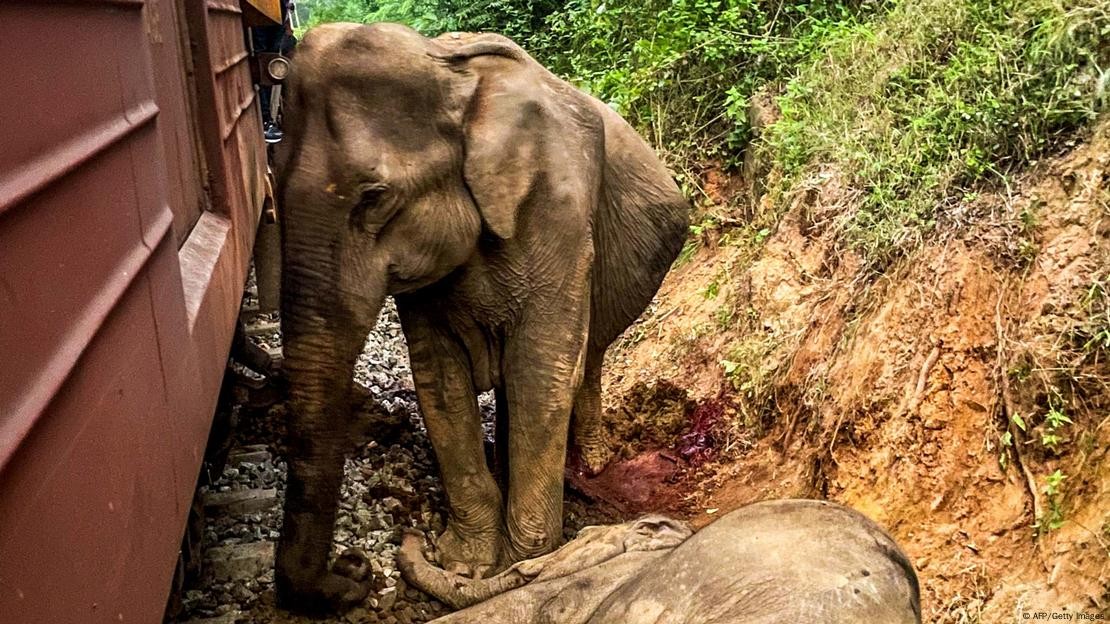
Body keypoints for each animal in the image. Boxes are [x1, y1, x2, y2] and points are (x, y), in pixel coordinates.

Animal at [272, 22, 690, 612]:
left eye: (375, 198)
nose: (354, 569)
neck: (453, 75)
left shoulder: (559, 211)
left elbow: (541, 368)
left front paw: (523, 560)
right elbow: (438, 377)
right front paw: (467, 563)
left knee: (583, 359)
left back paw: (588, 462)